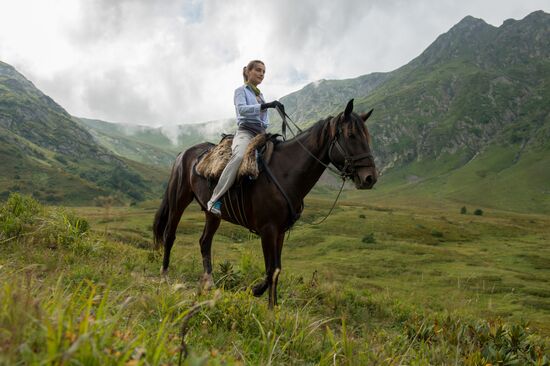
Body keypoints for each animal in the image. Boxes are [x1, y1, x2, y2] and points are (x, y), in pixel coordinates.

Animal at [155, 98, 380, 308]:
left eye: (367, 136)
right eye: (351, 135)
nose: (370, 178)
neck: (285, 172)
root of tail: (184, 154)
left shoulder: (280, 231)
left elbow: (277, 269)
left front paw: (273, 307)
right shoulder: (267, 230)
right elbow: (270, 269)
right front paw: (259, 295)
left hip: (212, 214)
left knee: (204, 241)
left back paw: (208, 283)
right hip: (178, 201)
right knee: (170, 235)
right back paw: (164, 276)